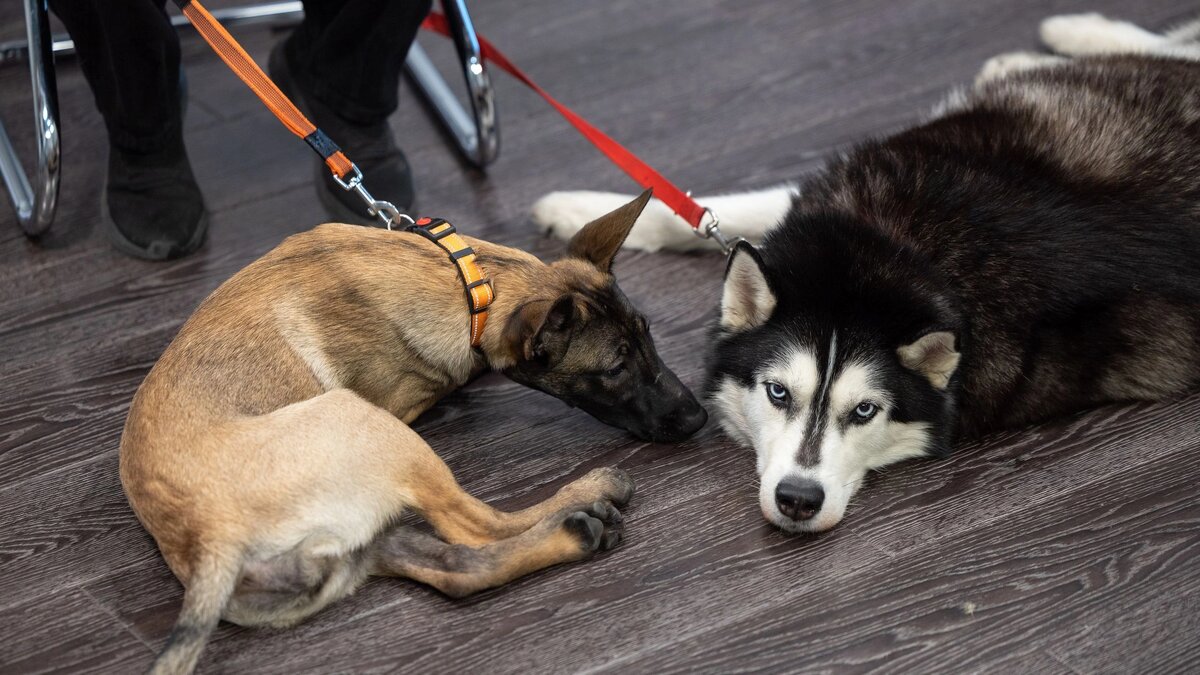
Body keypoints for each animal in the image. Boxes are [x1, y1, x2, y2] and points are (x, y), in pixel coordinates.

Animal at [121, 190, 700, 672]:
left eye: (649, 337)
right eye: (615, 369)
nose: (699, 417)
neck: (473, 286)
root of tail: (208, 541)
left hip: (360, 536)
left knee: (458, 568)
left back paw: (572, 536)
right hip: (365, 421)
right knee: (476, 525)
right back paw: (589, 494)